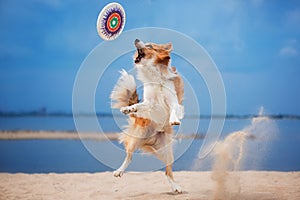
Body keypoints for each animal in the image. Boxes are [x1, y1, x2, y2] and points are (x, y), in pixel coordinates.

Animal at [110, 38, 184, 193]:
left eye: (150, 46)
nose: (136, 39)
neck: (155, 76)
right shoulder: (149, 102)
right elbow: (138, 106)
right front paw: (129, 109)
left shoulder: (173, 100)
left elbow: (174, 109)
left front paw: (174, 119)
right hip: (135, 139)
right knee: (129, 156)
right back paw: (119, 171)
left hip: (168, 151)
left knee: (168, 171)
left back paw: (175, 187)